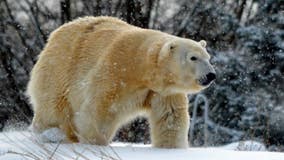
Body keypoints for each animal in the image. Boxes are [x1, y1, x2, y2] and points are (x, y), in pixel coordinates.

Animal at [27, 15, 216, 148]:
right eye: (193, 57)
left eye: (208, 57)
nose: (211, 75)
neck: (141, 67)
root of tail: (53, 37)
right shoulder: (115, 71)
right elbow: (96, 110)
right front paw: (95, 143)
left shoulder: (164, 91)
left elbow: (170, 117)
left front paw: (171, 148)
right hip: (59, 69)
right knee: (52, 108)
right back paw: (49, 134)